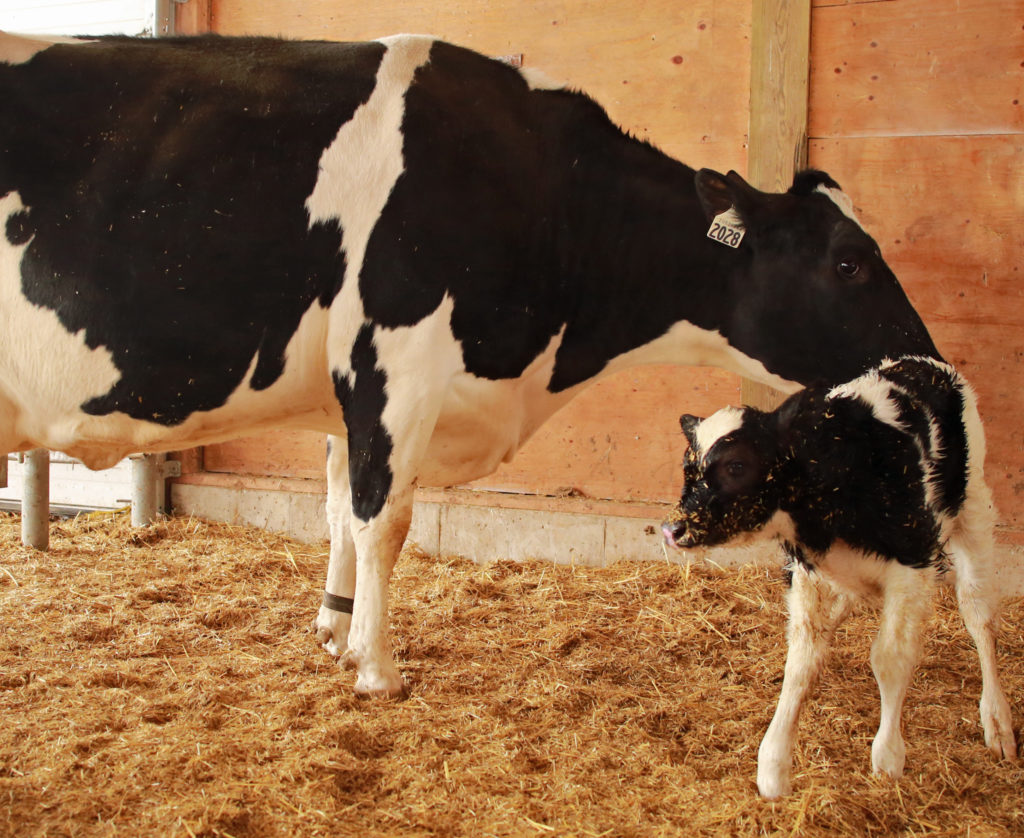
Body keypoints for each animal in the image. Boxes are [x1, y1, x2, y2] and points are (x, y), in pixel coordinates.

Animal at [0, 31, 940, 697]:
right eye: (850, 262)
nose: (928, 358)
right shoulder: (394, 364)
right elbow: (383, 518)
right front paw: (376, 669)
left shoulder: (354, 392)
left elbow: (338, 507)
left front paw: (334, 629)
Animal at [661, 357, 1017, 797]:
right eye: (688, 468)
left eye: (737, 465)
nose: (673, 529)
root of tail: (920, 362)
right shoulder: (806, 571)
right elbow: (801, 660)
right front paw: (774, 766)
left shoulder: (913, 561)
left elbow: (890, 658)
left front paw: (888, 757)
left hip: (973, 510)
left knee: (980, 616)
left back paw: (998, 721)